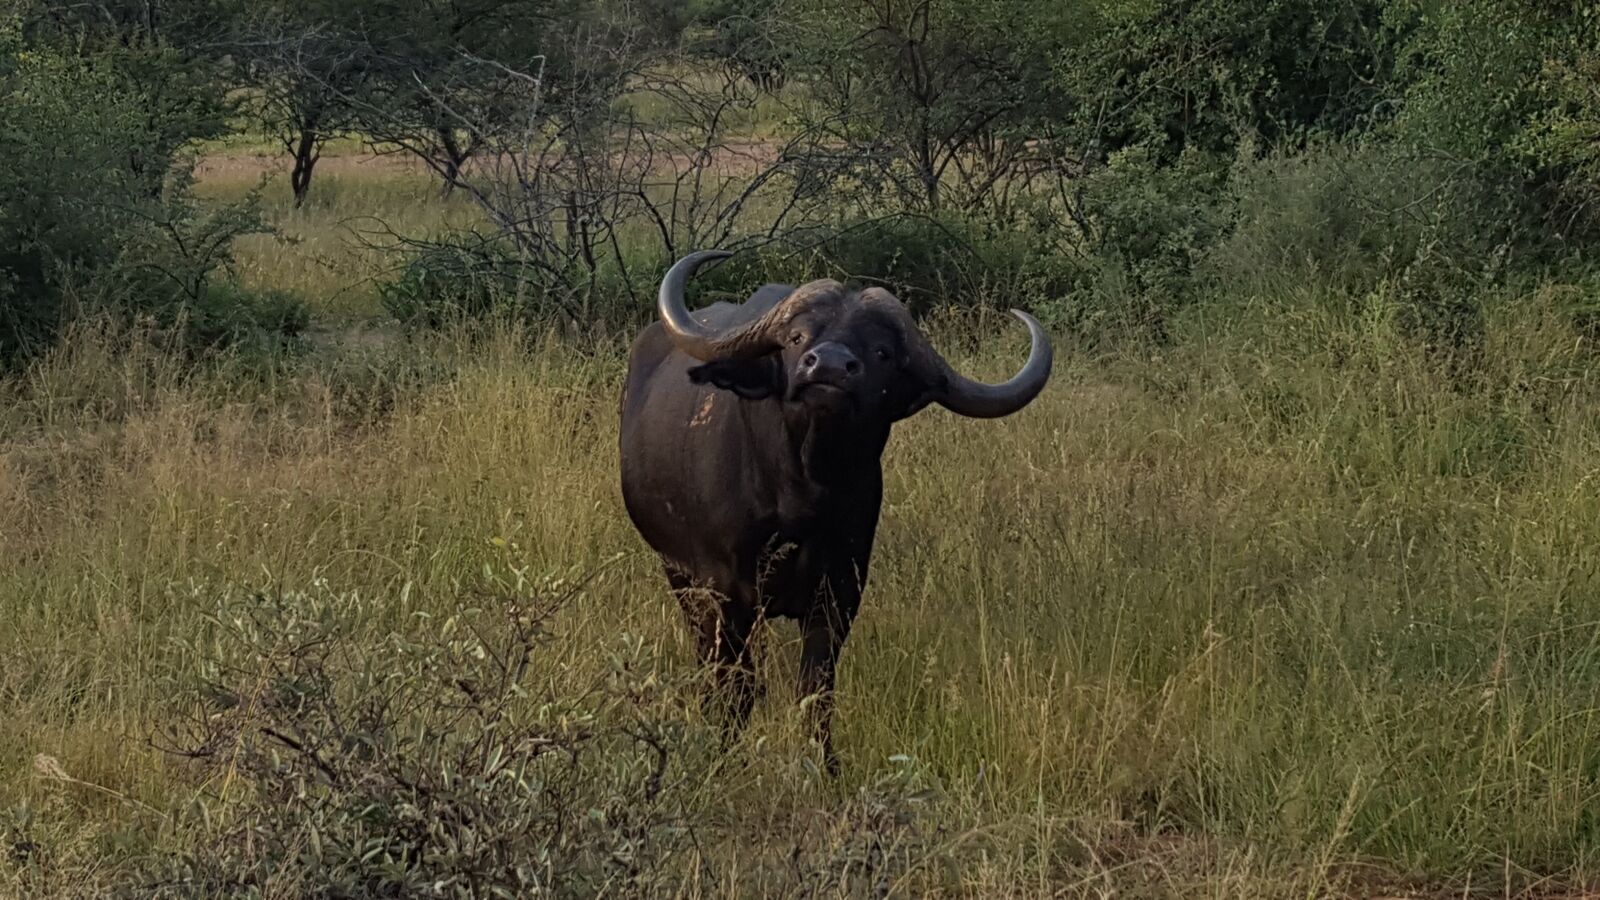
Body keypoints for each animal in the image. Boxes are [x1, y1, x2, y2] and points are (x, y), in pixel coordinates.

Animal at [619, 251, 1052, 770]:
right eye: (796, 338)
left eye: (882, 352)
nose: (828, 366)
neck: (801, 497)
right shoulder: (725, 590)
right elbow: (736, 684)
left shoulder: (839, 594)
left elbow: (815, 692)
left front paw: (824, 766)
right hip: (679, 574)